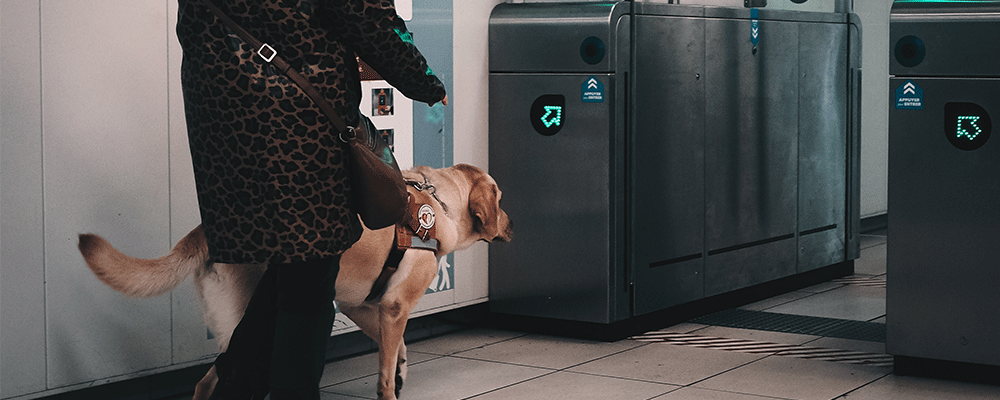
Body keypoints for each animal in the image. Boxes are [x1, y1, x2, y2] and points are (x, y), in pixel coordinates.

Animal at [78, 163, 512, 400]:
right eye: (502, 199)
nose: (512, 224)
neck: (439, 203)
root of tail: (205, 231)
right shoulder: (395, 306)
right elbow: (386, 371)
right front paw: (392, 383)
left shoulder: (361, 305)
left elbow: (397, 348)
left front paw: (403, 368)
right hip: (257, 322)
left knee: (205, 384)